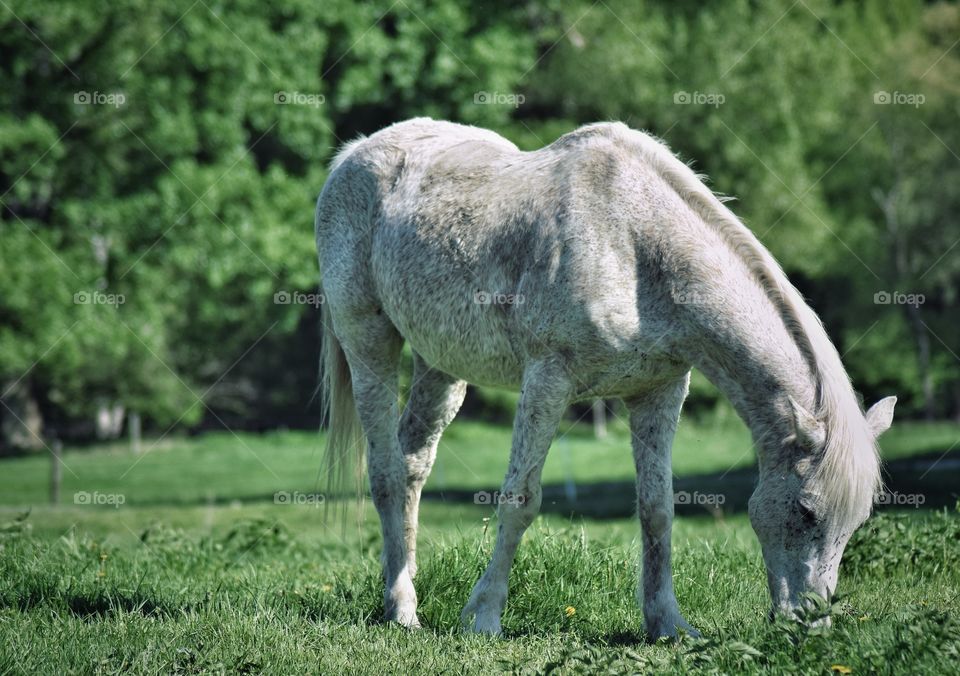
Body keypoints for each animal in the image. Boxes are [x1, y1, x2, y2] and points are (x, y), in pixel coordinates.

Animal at [314, 117, 897, 640]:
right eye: (805, 510)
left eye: (856, 521)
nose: (810, 625)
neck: (636, 246)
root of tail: (351, 155)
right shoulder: (548, 380)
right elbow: (520, 500)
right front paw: (482, 619)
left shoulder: (658, 393)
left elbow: (657, 510)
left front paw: (668, 626)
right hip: (368, 340)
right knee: (388, 473)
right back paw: (402, 610)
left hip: (441, 367)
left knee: (413, 464)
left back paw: (401, 590)